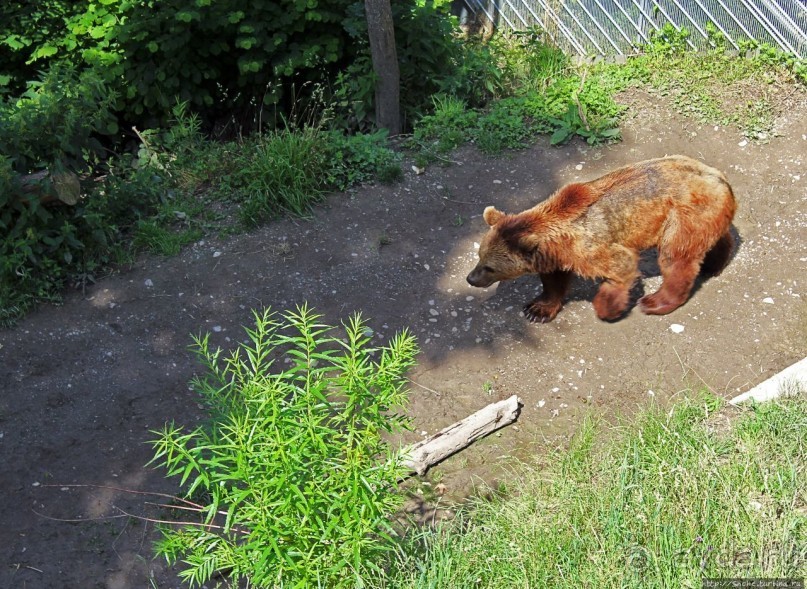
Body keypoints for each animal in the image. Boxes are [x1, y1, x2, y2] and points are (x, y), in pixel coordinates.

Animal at [468, 155, 740, 322]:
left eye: (489, 267)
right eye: (479, 256)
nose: (471, 278)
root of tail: (721, 178)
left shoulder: (589, 247)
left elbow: (621, 265)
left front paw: (606, 307)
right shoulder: (556, 255)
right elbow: (554, 281)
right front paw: (537, 309)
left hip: (682, 214)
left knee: (676, 258)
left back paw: (655, 302)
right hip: (703, 216)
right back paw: (715, 263)